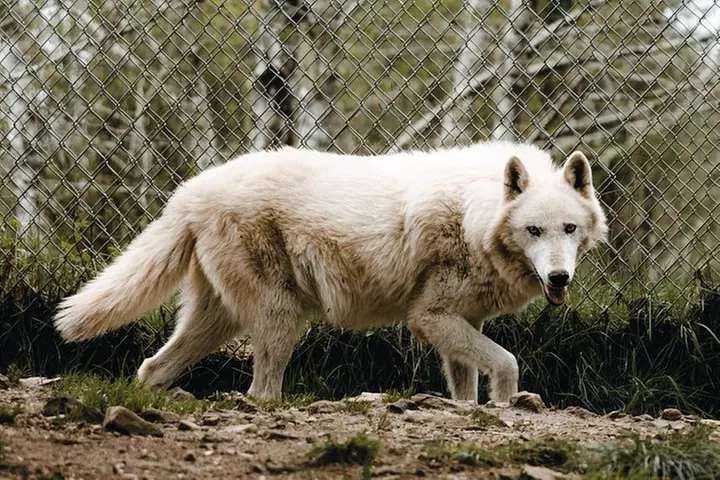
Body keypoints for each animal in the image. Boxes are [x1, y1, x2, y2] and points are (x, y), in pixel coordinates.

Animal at [53, 141, 607, 403]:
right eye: (533, 230)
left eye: (569, 229)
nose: (559, 279)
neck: (475, 213)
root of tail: (189, 191)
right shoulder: (429, 318)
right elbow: (508, 363)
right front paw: (507, 407)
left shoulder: (463, 322)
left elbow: (466, 387)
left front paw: (473, 411)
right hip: (280, 318)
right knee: (261, 391)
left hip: (218, 322)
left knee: (152, 368)